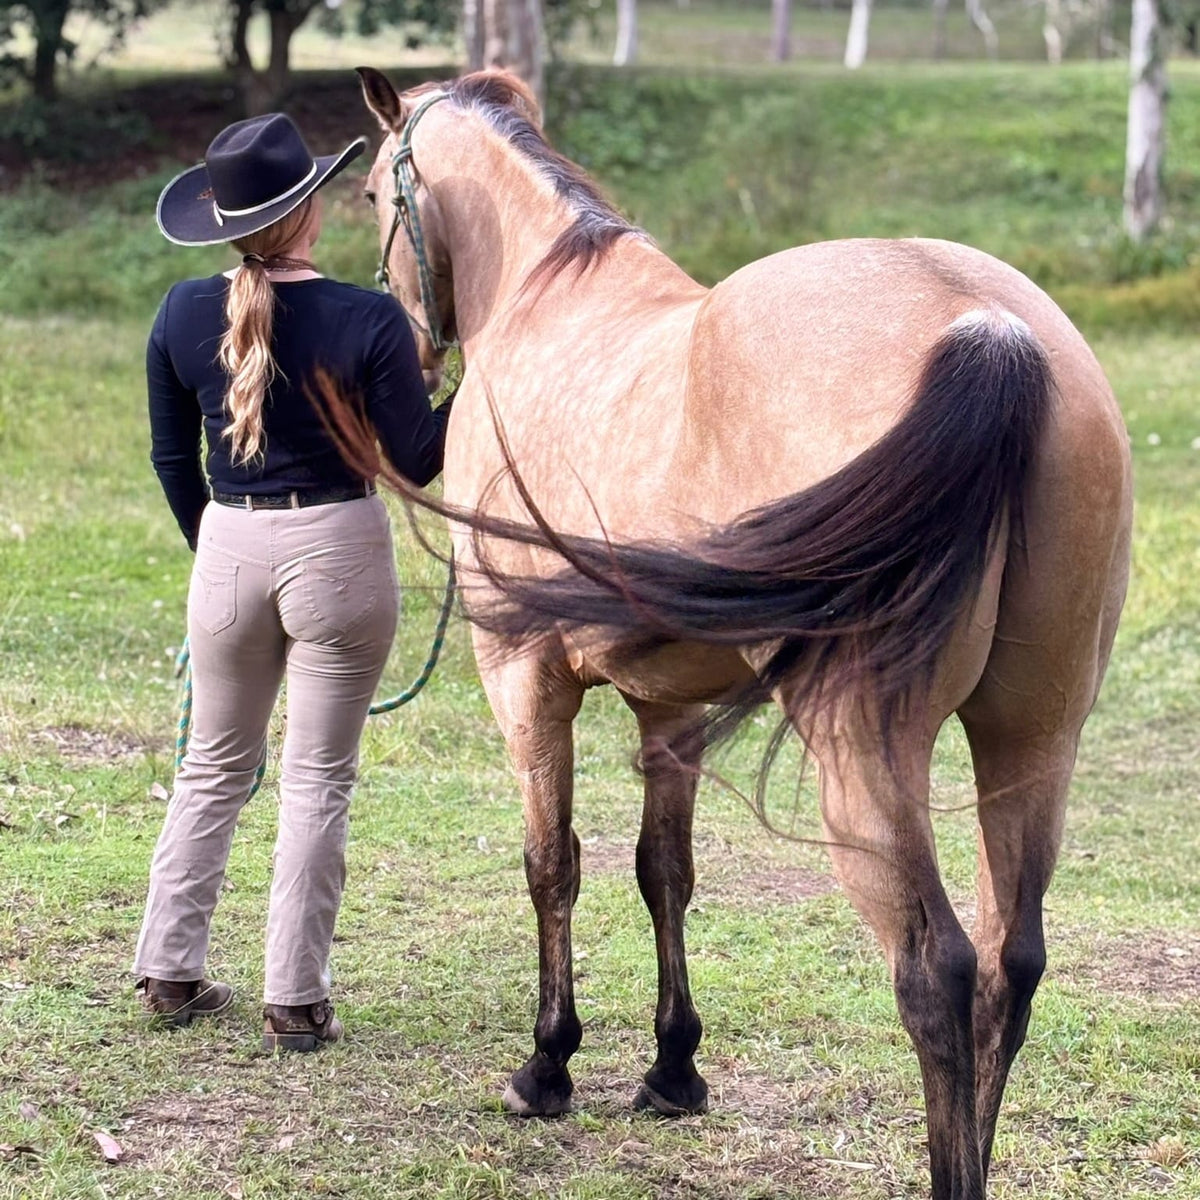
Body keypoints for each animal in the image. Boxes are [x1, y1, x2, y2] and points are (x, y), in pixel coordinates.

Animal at [350, 66, 1132, 1200]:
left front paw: (548, 1064)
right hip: (1034, 738)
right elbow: (662, 871)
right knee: (1009, 964)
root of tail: (990, 332)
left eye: (374, 193)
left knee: (934, 971)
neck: (549, 303)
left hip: (866, 753)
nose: (412, 352)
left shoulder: (524, 681)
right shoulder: (669, 707)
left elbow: (553, 863)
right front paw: (674, 1068)